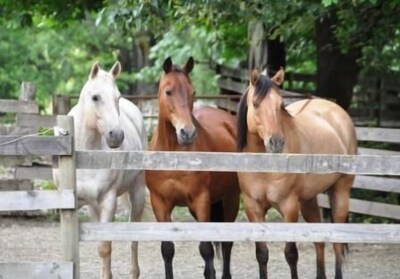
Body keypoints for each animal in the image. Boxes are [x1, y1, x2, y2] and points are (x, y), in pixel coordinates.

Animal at [52, 61, 147, 279]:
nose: (116, 135)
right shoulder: (77, 205)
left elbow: (104, 246)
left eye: (117, 97)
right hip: (94, 206)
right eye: (95, 97)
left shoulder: (108, 200)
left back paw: (134, 272)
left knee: (135, 236)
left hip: (137, 192)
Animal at [147, 57, 241, 279]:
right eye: (168, 91)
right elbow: (167, 249)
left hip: (231, 199)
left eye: (193, 92)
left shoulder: (201, 200)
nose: (187, 133)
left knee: (227, 243)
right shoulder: (159, 203)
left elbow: (206, 249)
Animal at [236, 68, 358, 279]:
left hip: (340, 191)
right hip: (309, 199)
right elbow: (262, 254)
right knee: (319, 240)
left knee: (337, 243)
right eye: (255, 104)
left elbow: (291, 254)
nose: (276, 142)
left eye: (280, 104)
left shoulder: (289, 206)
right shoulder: (253, 208)